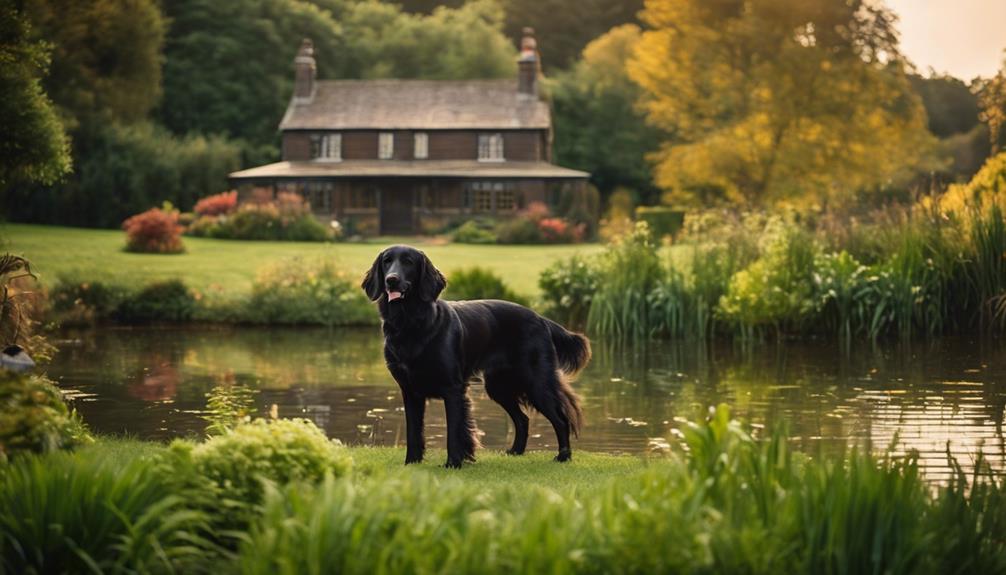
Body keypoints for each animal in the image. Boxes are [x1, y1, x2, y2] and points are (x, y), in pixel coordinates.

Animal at [362, 243, 587, 466]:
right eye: (387, 262)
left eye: (408, 262)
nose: (391, 280)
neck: (410, 324)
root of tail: (541, 318)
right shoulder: (410, 390)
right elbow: (413, 432)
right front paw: (411, 463)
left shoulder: (453, 388)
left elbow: (454, 431)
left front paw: (453, 464)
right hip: (498, 386)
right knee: (523, 419)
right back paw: (515, 451)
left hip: (536, 382)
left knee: (561, 420)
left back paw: (563, 456)